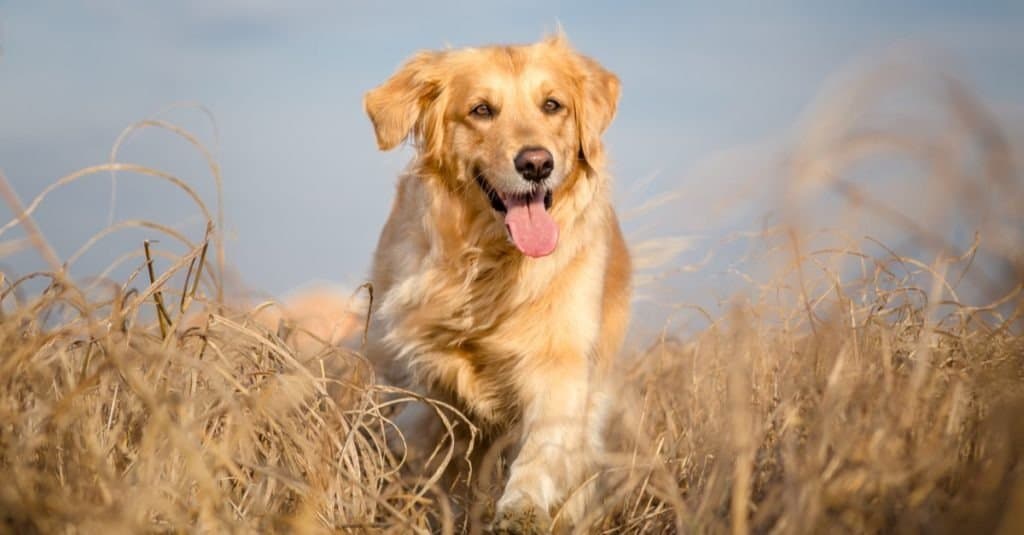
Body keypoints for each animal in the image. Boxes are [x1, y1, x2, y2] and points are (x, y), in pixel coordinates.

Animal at [360, 33, 630, 528]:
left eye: (552, 105)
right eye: (481, 110)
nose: (537, 164)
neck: (491, 262)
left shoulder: (561, 360)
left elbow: (544, 445)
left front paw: (522, 506)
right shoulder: (423, 370)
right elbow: (428, 438)